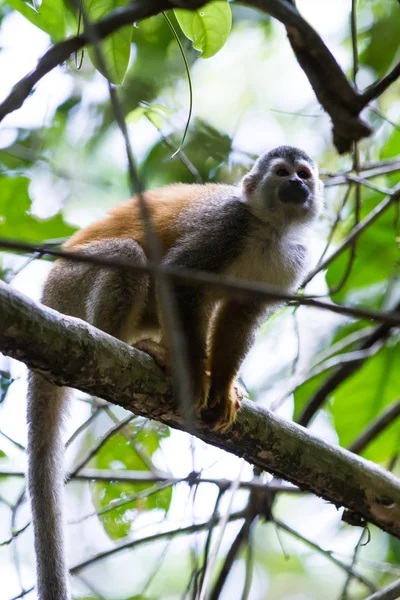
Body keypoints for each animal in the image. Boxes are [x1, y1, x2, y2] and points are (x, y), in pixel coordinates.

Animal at [26, 146, 324, 600]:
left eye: (304, 174)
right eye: (282, 172)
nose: (297, 184)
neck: (269, 228)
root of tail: (46, 297)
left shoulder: (291, 261)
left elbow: (241, 313)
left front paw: (222, 386)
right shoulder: (226, 226)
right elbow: (179, 277)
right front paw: (196, 377)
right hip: (68, 287)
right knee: (128, 255)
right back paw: (126, 343)